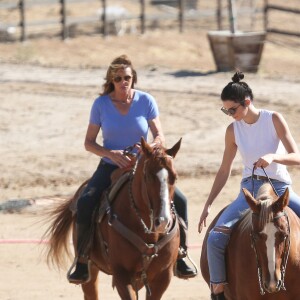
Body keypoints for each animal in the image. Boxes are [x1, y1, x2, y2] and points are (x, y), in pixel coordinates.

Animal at [43, 137, 182, 300]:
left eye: (175, 177)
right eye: (147, 176)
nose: (163, 221)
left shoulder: (163, 277)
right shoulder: (122, 275)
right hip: (90, 270)